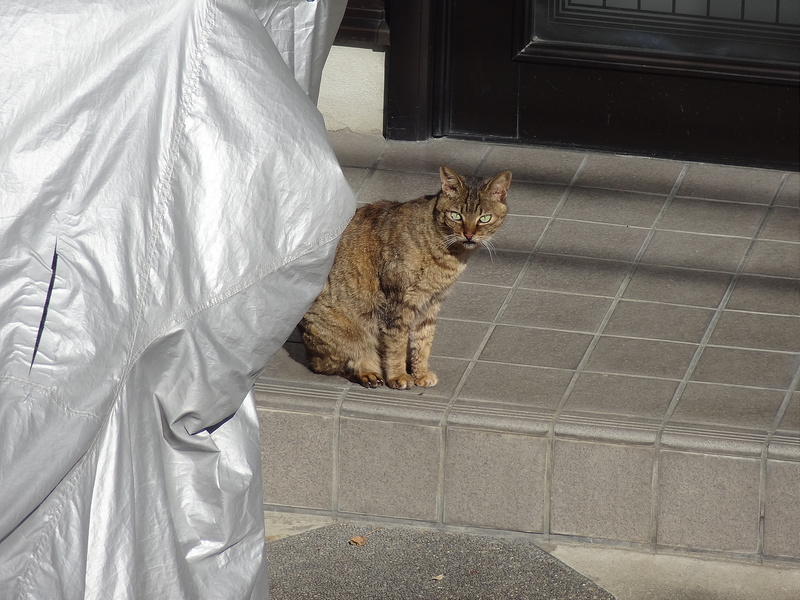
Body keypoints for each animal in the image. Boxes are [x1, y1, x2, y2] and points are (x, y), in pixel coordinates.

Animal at [300, 165, 512, 390]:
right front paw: (398, 375)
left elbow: (424, 340)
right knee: (333, 363)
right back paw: (368, 372)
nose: (469, 235)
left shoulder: (432, 302)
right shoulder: (398, 300)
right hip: (345, 330)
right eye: (456, 216)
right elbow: (396, 342)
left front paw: (420, 373)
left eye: (484, 218)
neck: (450, 254)